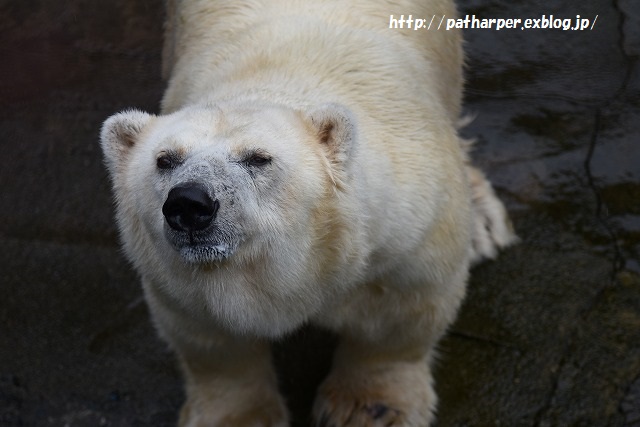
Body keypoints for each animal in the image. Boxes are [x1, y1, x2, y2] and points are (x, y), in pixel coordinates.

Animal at [99, 0, 516, 424]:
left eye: (258, 158)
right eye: (165, 160)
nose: (189, 203)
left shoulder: (405, 231)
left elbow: (397, 320)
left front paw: (368, 408)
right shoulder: (175, 279)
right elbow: (211, 340)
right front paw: (240, 416)